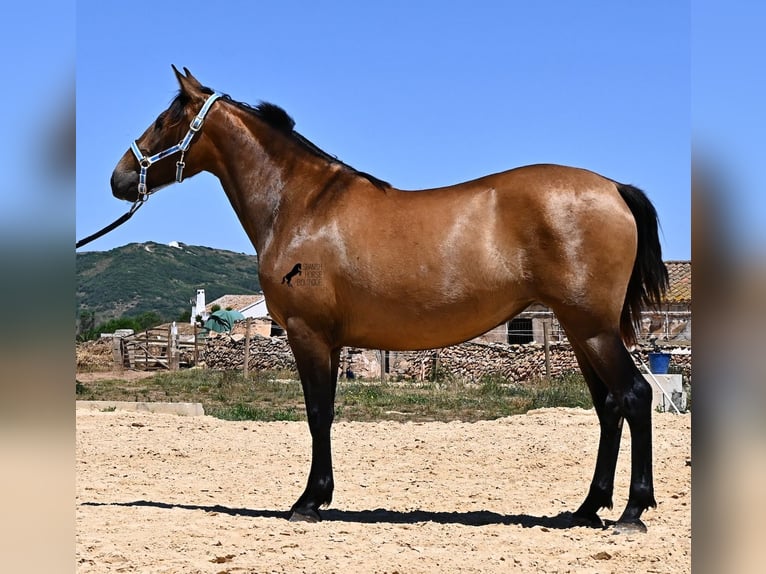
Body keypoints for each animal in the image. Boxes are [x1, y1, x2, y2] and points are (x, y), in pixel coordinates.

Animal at [110, 66, 668, 531]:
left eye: (165, 120)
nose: (118, 178)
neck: (302, 205)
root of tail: (614, 189)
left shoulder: (308, 334)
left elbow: (316, 413)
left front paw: (309, 501)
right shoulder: (332, 341)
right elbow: (326, 411)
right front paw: (320, 495)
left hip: (592, 329)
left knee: (635, 396)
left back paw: (632, 512)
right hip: (580, 331)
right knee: (607, 407)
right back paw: (586, 509)